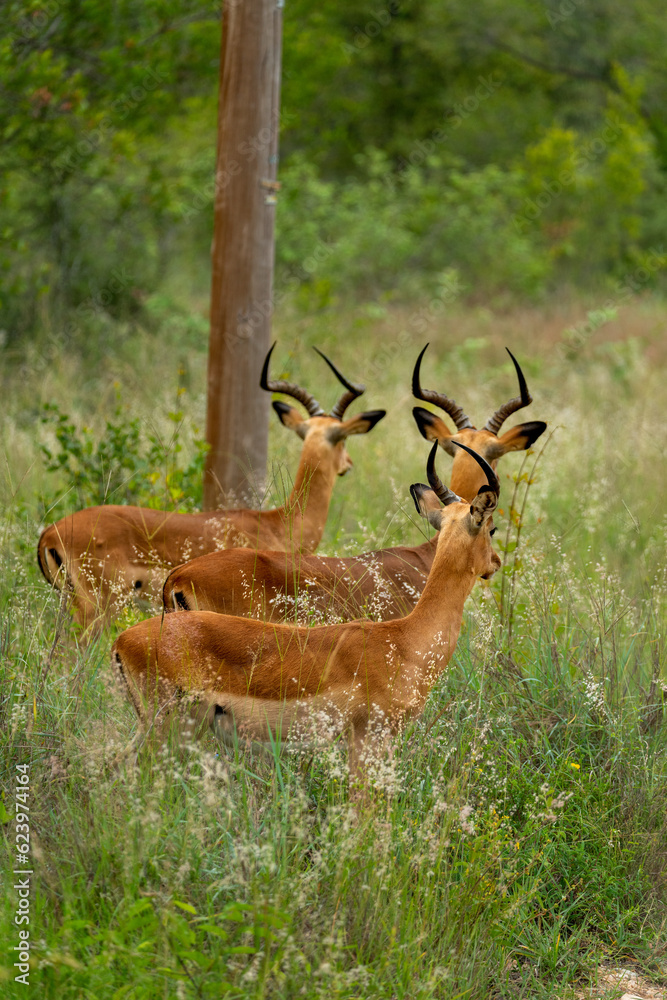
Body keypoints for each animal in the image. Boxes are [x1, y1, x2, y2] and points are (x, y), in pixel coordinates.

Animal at [111, 442, 502, 780]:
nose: (495, 562)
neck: (405, 641)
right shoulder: (367, 741)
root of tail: (121, 641)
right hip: (168, 726)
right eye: (492, 528)